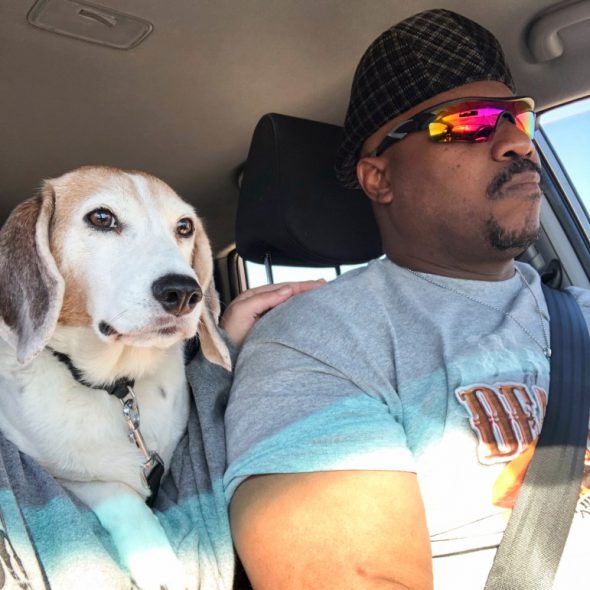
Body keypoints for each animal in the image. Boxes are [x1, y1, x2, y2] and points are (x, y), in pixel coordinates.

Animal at [0, 166, 231, 590]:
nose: (184, 292)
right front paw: (157, 562)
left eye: (184, 226)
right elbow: (118, 493)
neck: (116, 388)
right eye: (102, 217)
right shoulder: (57, 474)